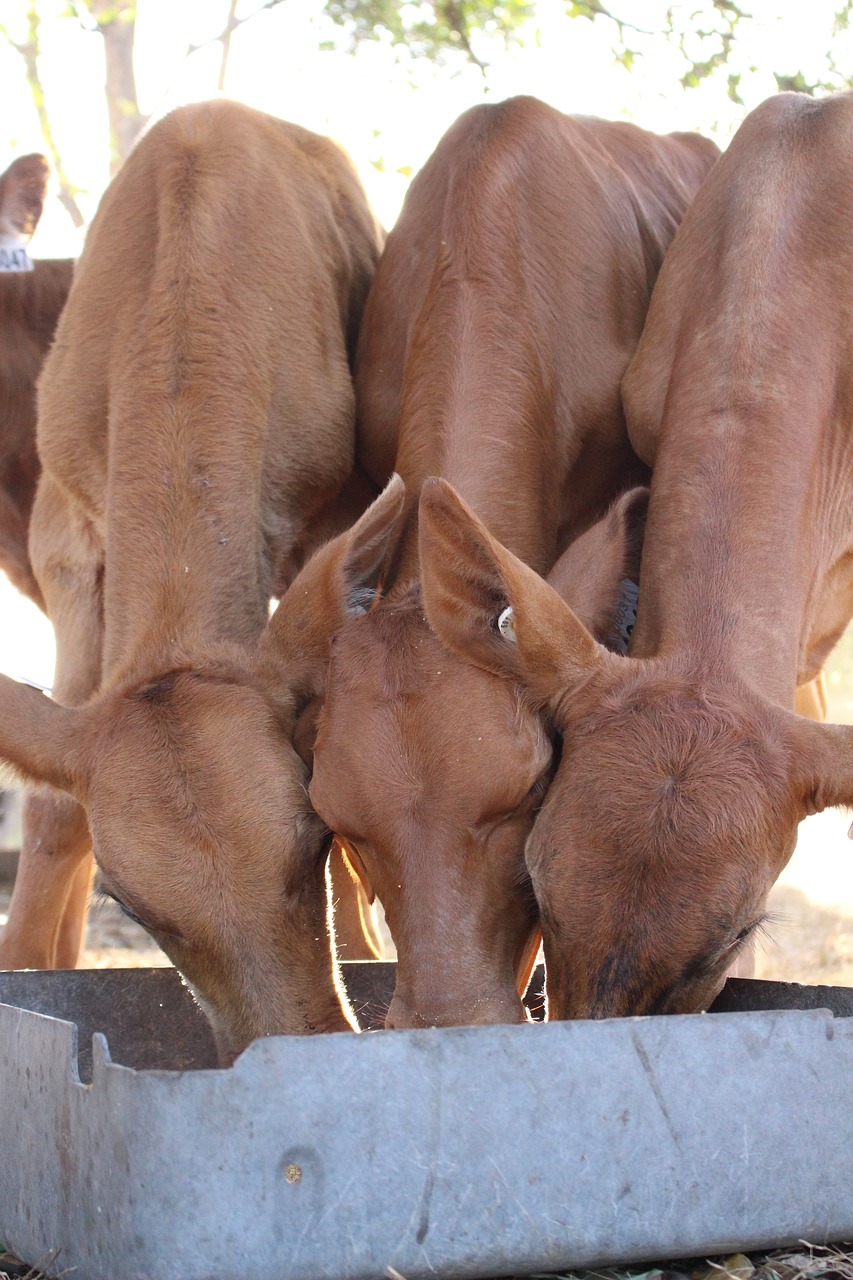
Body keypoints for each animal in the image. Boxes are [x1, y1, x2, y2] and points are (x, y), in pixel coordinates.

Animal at [0, 99, 391, 1059]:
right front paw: (26, 971)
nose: (299, 1043)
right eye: (134, 909)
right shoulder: (67, 532)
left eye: (312, 839)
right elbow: (56, 806)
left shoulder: (330, 514)